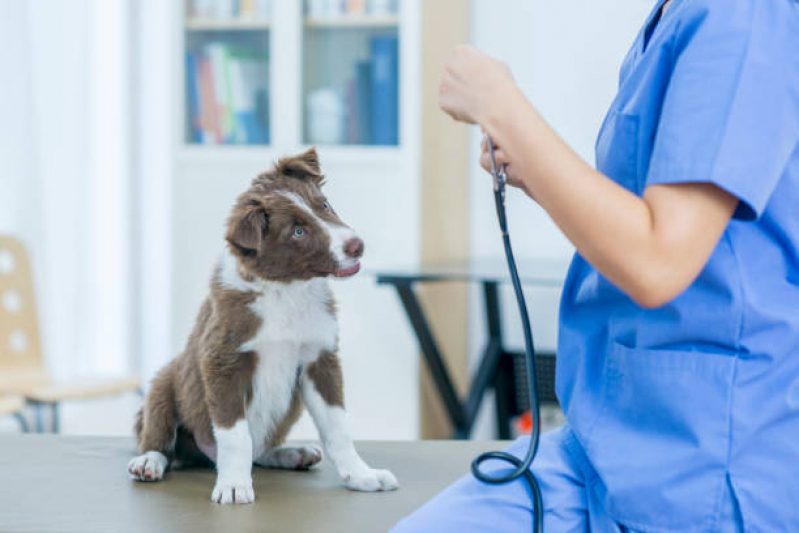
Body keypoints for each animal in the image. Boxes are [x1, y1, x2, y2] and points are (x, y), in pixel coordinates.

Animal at [130, 149, 400, 502]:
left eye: (324, 205)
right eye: (298, 232)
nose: (357, 245)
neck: (287, 291)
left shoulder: (320, 359)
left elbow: (338, 428)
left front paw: (362, 475)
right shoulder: (223, 362)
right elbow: (235, 437)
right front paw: (233, 485)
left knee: (260, 451)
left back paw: (290, 454)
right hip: (165, 382)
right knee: (158, 434)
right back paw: (149, 461)